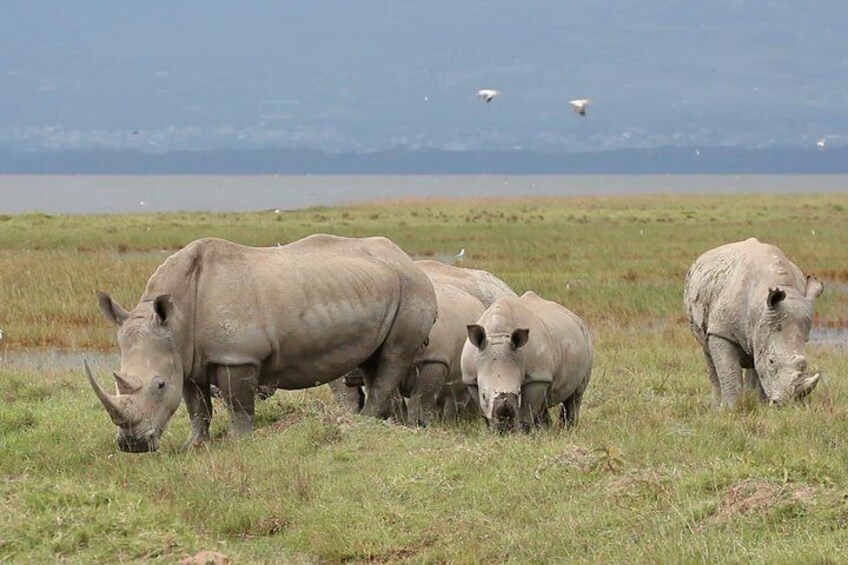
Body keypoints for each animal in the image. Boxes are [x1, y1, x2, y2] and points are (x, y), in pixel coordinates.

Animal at [88, 236, 438, 452]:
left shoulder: (236, 355)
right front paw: (194, 446)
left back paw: (365, 422)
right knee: (372, 360)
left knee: (393, 356)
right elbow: (196, 407)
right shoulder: (186, 358)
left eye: (159, 385)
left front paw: (238, 442)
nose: (131, 446)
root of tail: (407, 259)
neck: (176, 321)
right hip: (381, 287)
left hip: (413, 289)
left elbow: (238, 403)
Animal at [460, 290, 592, 432]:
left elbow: (527, 409)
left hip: (585, 338)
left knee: (575, 396)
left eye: (519, 393)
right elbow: (483, 409)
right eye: (484, 395)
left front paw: (522, 432)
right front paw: (493, 430)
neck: (499, 333)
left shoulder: (536, 377)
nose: (505, 427)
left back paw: (568, 429)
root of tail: (574, 316)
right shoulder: (471, 379)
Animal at [684, 237, 824, 406]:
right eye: (771, 361)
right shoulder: (721, 331)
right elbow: (729, 373)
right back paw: (717, 407)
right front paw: (732, 409)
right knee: (709, 355)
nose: (787, 404)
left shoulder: (764, 326)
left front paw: (763, 406)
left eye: (805, 364)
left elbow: (759, 369)